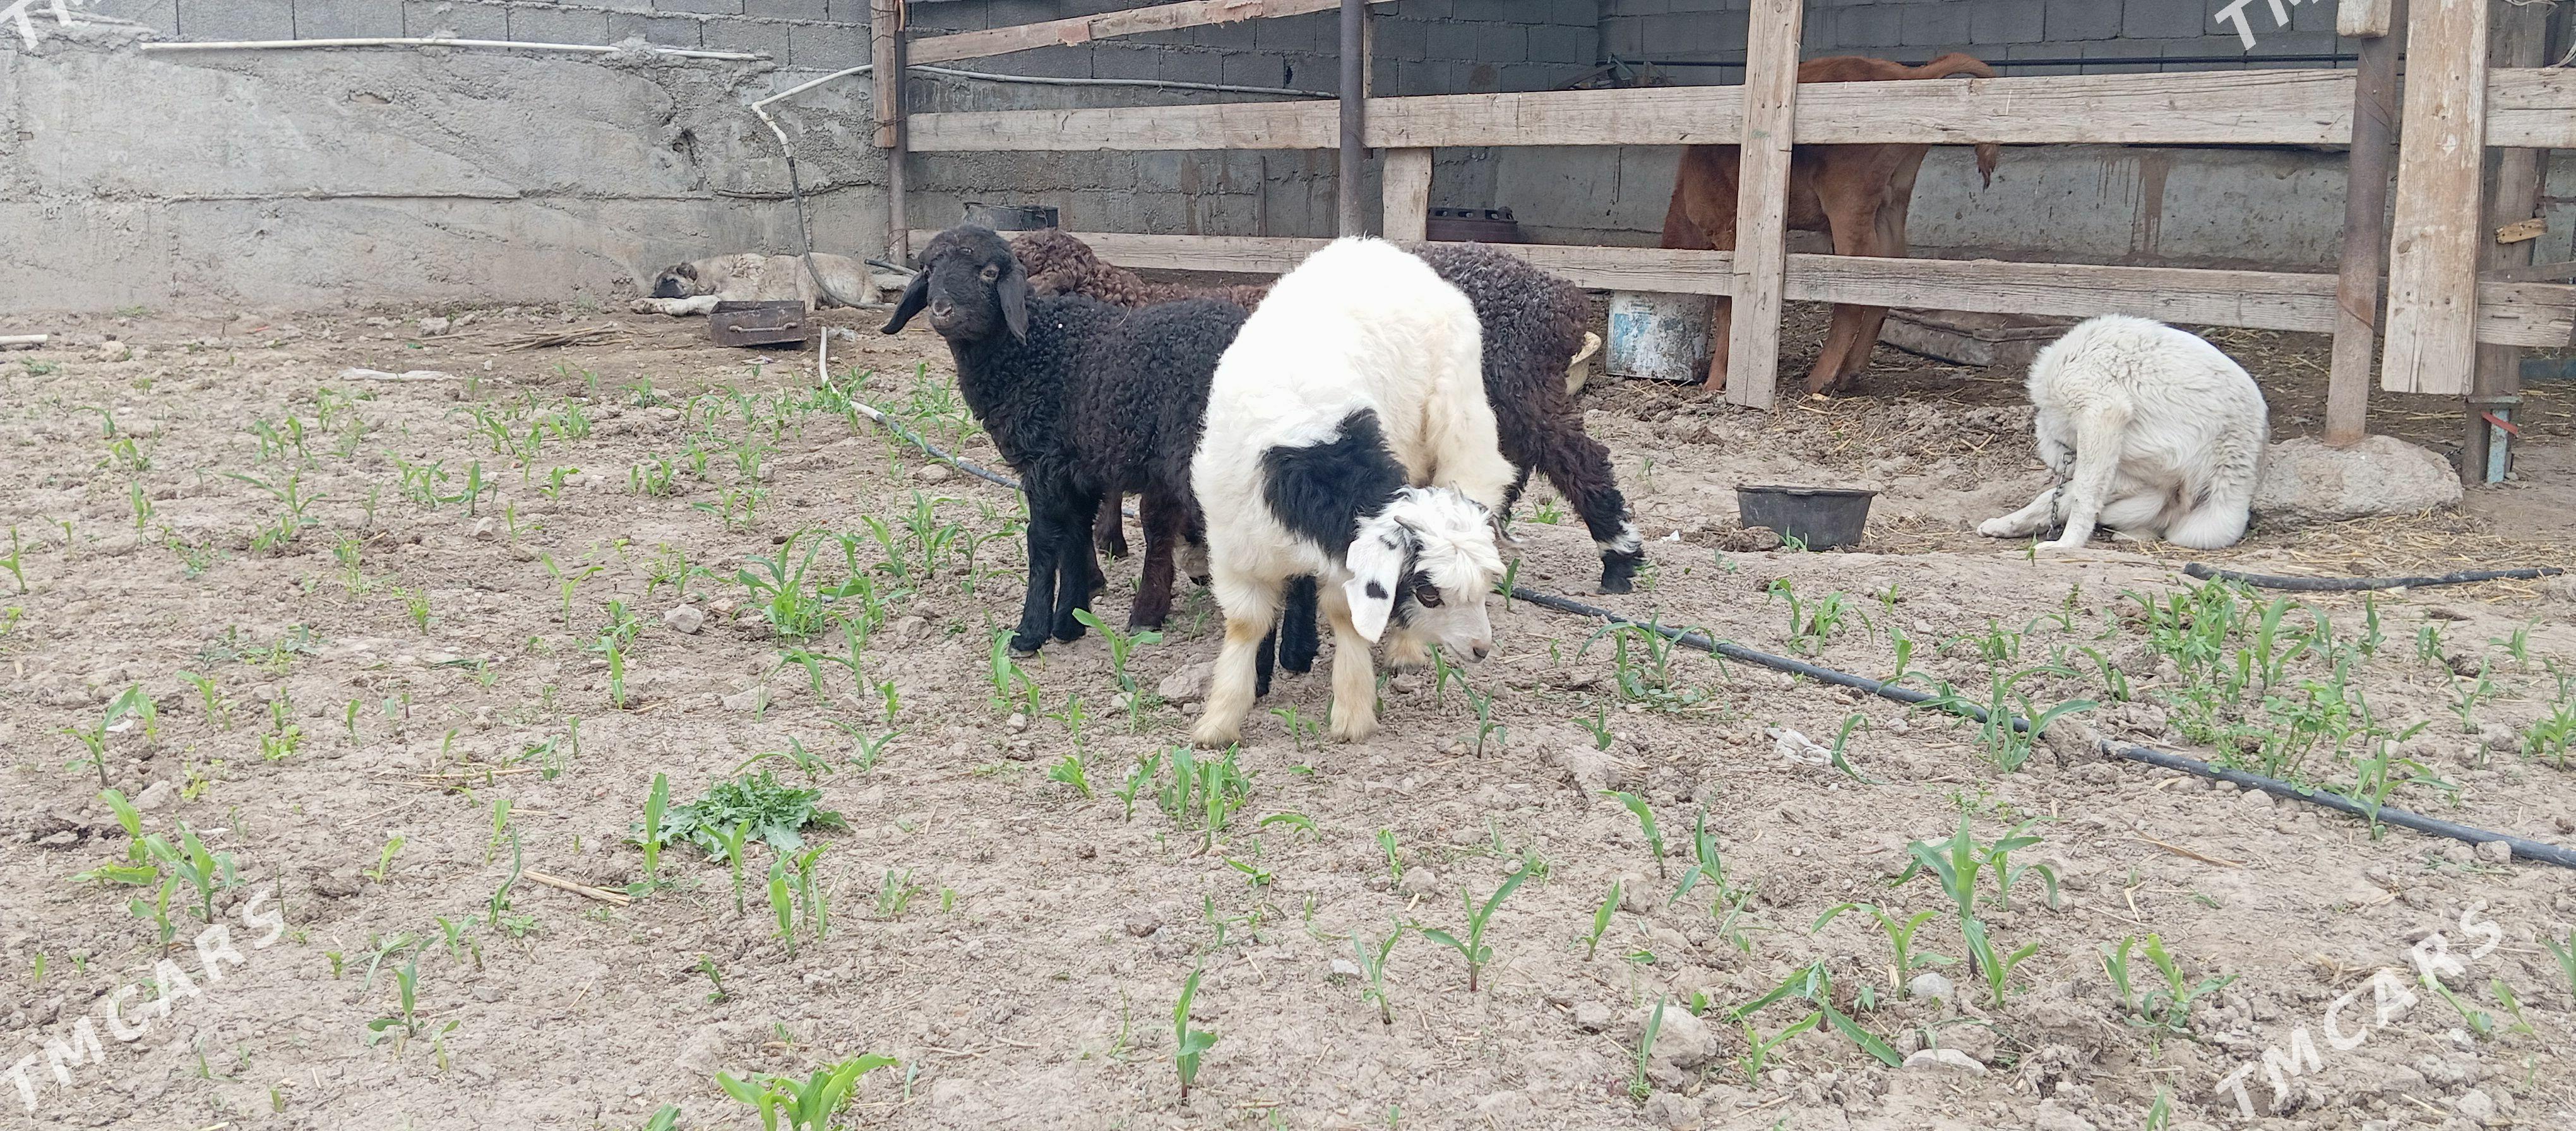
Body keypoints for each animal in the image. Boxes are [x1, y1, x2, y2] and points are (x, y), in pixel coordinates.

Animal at [631, 252, 876, 315]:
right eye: (656, 285)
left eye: (670, 282)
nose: (653, 296)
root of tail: (867, 276)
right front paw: (647, 303)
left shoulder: (726, 299)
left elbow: (692, 300)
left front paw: (670, 306)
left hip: (804, 262)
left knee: (808, 304)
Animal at [1189, 237, 1517, 748]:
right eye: (1427, 593)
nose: (1481, 649)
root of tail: (1380, 248)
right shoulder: (1236, 549)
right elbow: (1245, 624)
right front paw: (1219, 721)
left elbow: (1345, 614)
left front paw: (1352, 711)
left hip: (1455, 412)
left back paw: (1405, 649)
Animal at [1660, 53, 2001, 396]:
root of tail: (1905, 74)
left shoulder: (1728, 229)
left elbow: (1727, 306)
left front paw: (1716, 380)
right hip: (1890, 204)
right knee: (1888, 275)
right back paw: (1849, 372)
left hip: (1848, 204)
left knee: (1855, 286)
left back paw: (1820, 377)